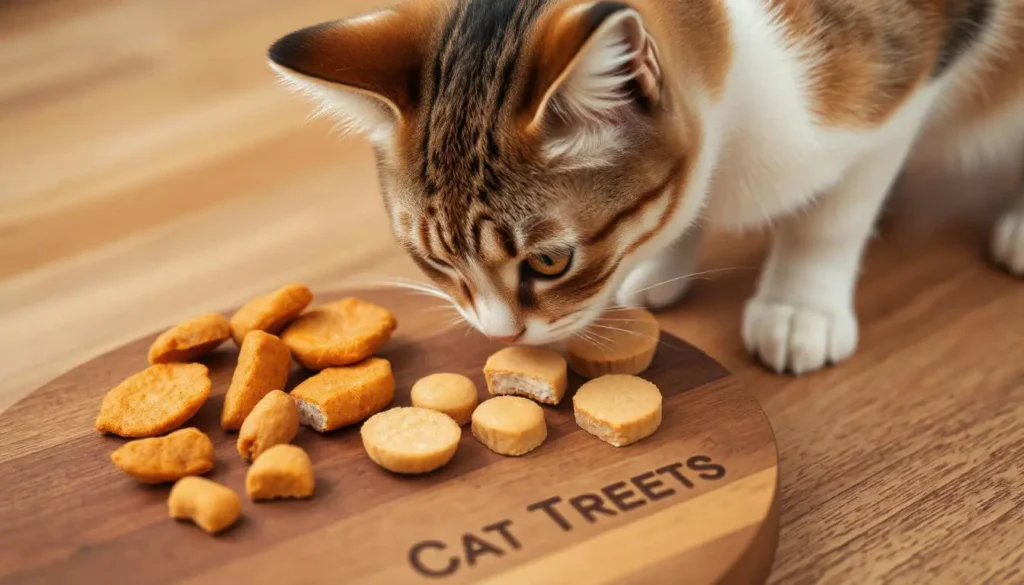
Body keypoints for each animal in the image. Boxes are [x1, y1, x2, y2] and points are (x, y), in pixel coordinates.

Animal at [270, 0, 1024, 374]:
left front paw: (799, 304)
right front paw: (666, 258)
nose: (500, 333)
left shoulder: (908, 78)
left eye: (551, 261)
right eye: (433, 261)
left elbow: (834, 212)